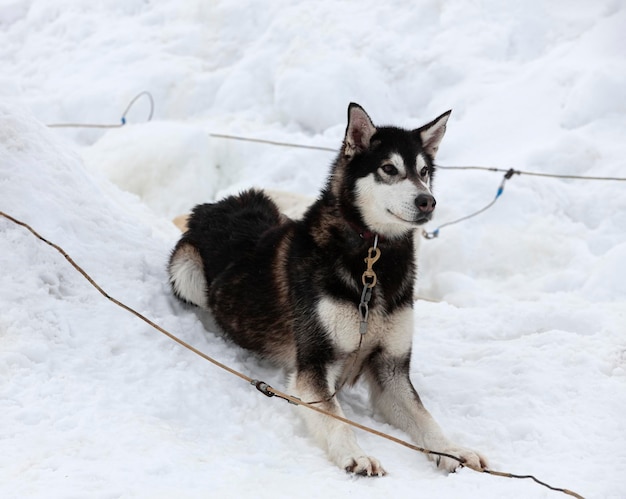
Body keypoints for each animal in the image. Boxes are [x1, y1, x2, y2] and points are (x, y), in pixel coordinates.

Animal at [168, 104, 486, 476]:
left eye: (423, 171)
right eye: (389, 168)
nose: (427, 201)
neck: (373, 260)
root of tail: (212, 206)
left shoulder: (391, 369)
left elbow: (425, 418)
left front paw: (454, 450)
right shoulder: (314, 367)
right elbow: (336, 418)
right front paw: (355, 454)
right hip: (186, 270)